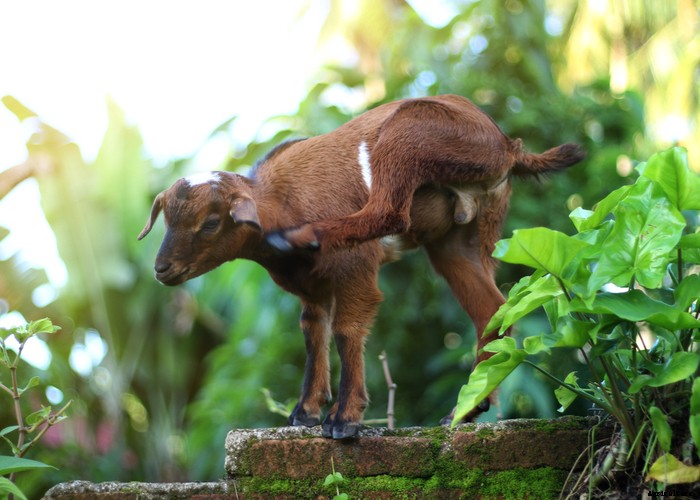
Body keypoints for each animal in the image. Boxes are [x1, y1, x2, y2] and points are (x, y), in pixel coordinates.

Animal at [138, 94, 585, 439]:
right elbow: (312, 331)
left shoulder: (355, 270)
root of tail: (507, 146)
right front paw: (305, 413)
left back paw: (306, 234)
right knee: (491, 309)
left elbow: (347, 328)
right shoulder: (311, 288)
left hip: (407, 139)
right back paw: (466, 409)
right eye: (166, 219)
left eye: (210, 223)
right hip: (464, 238)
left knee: (389, 213)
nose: (162, 269)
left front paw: (343, 420)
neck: (279, 199)